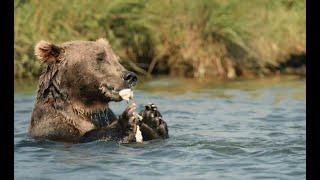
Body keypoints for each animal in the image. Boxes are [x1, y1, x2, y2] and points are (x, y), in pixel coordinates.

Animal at [28, 38, 168, 143]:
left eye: (116, 59)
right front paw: (125, 121)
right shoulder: (56, 128)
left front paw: (153, 118)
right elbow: (89, 136)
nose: (130, 76)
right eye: (100, 58)